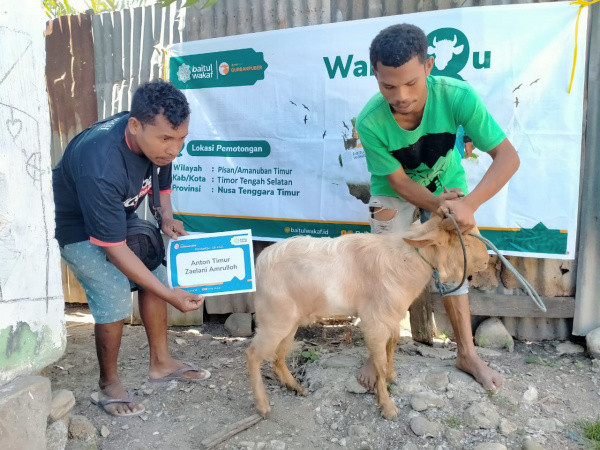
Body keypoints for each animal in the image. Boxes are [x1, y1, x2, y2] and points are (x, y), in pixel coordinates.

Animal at [246, 214, 490, 418]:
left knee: (278, 357)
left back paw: (295, 387)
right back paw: (263, 406)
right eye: (465, 242)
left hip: (290, 322)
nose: (488, 260)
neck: (404, 261)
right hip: (274, 319)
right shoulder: (375, 320)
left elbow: (392, 345)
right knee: (253, 354)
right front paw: (388, 406)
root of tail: (259, 263)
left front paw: (391, 376)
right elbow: (379, 361)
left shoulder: (391, 317)